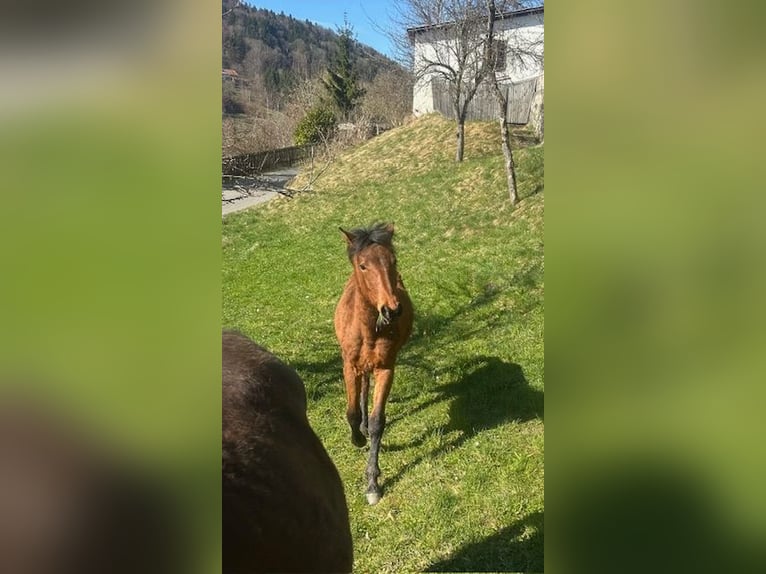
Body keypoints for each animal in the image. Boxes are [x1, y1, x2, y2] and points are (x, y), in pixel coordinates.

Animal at [334, 223, 414, 505]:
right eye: (363, 265)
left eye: (393, 260)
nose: (392, 310)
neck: (369, 330)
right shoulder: (348, 366)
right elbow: (351, 412)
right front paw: (357, 438)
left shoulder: (386, 368)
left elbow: (378, 420)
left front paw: (372, 483)